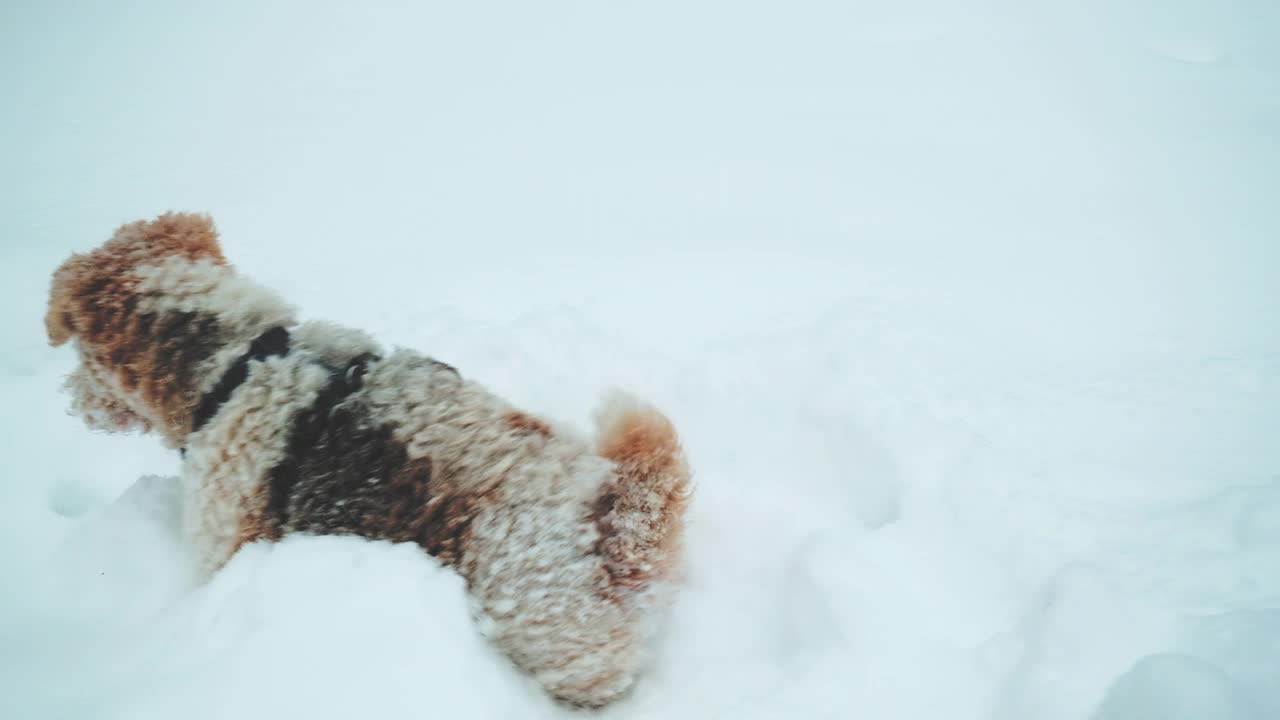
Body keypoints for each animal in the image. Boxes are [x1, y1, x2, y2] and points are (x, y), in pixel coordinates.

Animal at [47, 210, 691, 702]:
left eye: (80, 356)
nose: (71, 404)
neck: (241, 361)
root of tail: (606, 504)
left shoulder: (228, 541)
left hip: (549, 632)